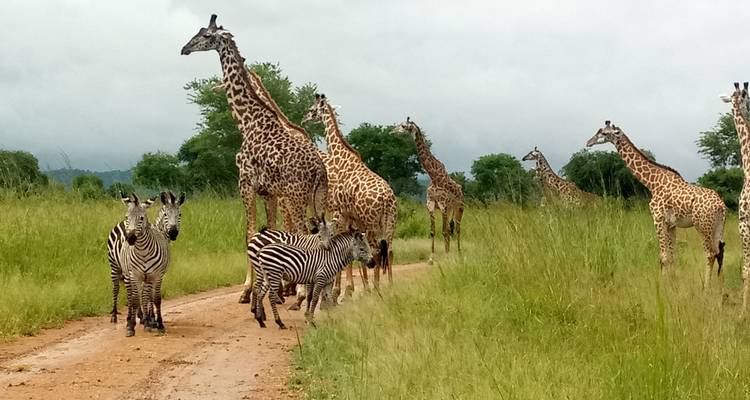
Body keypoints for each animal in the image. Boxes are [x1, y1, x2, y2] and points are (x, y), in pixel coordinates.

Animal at [115, 191, 185, 337]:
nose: (130, 238)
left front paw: (158, 323)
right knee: (131, 297)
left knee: (145, 296)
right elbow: (137, 299)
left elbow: (154, 298)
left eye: (179, 214)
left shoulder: (155, 275)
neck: (142, 250)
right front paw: (132, 326)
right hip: (127, 273)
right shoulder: (135, 275)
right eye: (127, 217)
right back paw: (132, 320)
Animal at [181, 15, 329, 301]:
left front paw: (248, 290)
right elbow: (269, 233)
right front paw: (272, 288)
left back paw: (303, 293)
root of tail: (319, 169)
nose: (184, 48)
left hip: (295, 196)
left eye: (205, 36)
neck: (247, 122)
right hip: (317, 197)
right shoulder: (267, 191)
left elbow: (250, 233)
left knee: (305, 233)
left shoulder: (246, 184)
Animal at [301, 94, 397, 299]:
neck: (340, 158)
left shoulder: (341, 212)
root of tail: (388, 199)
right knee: (389, 250)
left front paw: (343, 290)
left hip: (371, 222)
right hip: (390, 222)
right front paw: (348, 289)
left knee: (377, 250)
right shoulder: (350, 216)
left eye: (312, 109)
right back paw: (389, 286)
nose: (304, 119)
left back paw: (376, 289)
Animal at [394, 117, 464, 264]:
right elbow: (434, 232)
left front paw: (447, 256)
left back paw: (459, 253)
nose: (392, 131)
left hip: (459, 207)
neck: (434, 176)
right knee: (450, 228)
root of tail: (461, 191)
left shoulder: (442, 205)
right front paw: (431, 258)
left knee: (457, 229)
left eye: (403, 126)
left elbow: (444, 231)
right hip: (450, 209)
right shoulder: (431, 204)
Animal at [586, 121, 726, 287]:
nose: (588, 142)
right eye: (599, 130)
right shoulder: (671, 224)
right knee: (719, 252)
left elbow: (663, 256)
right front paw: (673, 282)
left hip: (702, 226)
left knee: (710, 254)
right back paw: (719, 285)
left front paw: (664, 284)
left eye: (604, 133)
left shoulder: (658, 219)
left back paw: (706, 287)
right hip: (717, 226)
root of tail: (721, 205)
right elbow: (673, 256)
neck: (652, 183)